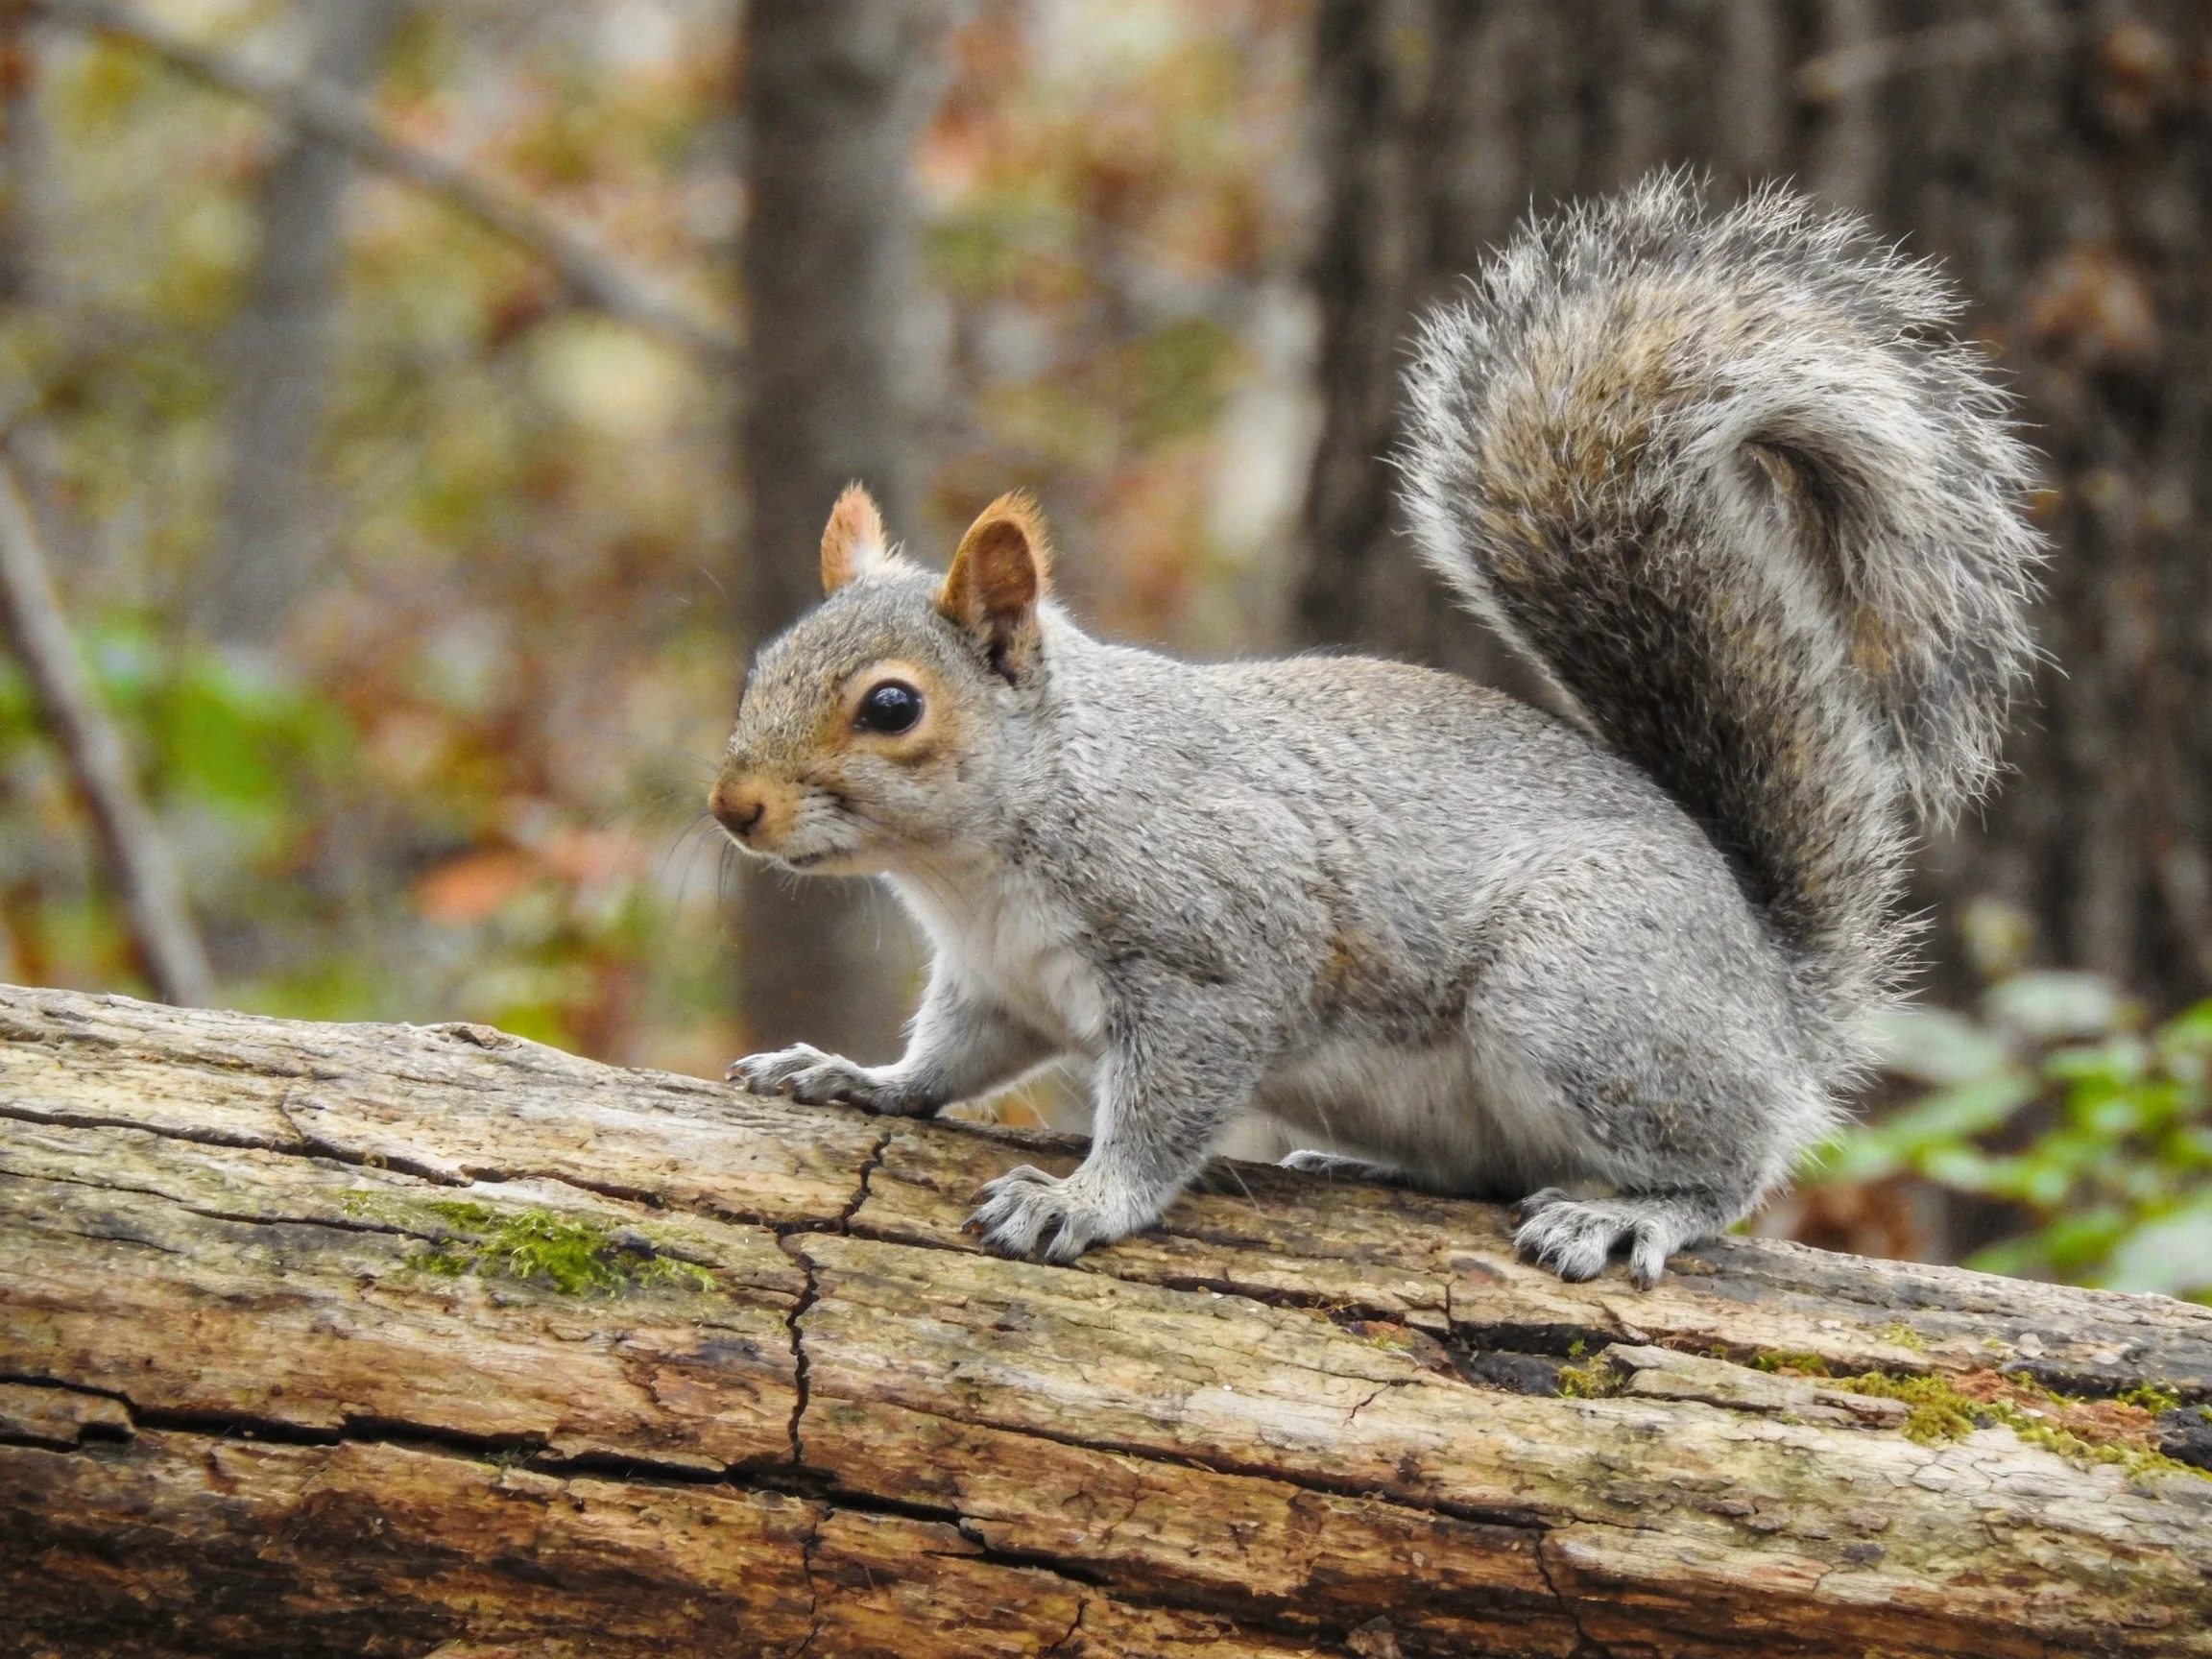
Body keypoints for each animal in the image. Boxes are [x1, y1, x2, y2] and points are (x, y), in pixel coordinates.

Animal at [714, 176, 2042, 1286]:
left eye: (892, 706)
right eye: (760, 664)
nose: (733, 810)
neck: (983, 861)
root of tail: (1775, 997)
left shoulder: (1220, 953)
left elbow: (1164, 1113)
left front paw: (1081, 1200)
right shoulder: (996, 983)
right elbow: (948, 1061)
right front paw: (853, 1077)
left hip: (1582, 996)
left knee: (1732, 1165)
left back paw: (1630, 1213)